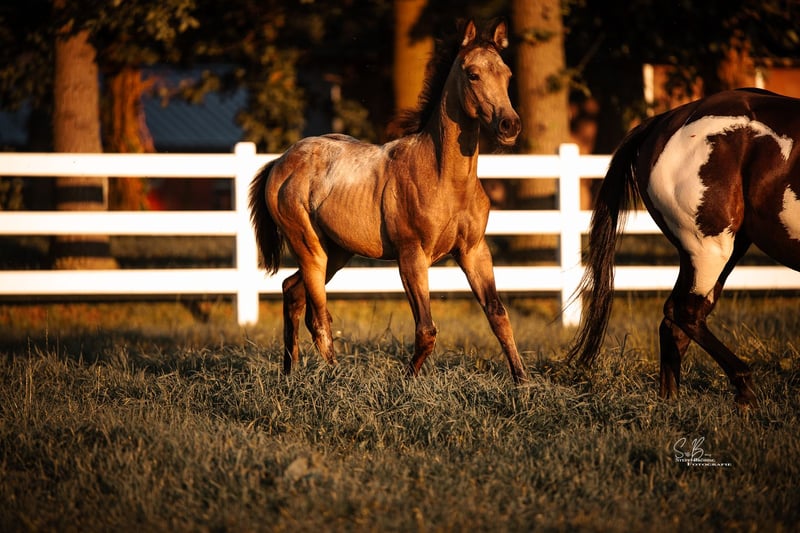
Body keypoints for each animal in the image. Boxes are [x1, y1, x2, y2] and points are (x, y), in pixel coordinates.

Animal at [248, 19, 527, 383]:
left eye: (507, 74)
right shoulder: (411, 256)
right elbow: (426, 329)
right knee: (318, 318)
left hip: (337, 251)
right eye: (473, 74)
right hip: (309, 248)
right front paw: (406, 383)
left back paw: (289, 373)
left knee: (292, 290)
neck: (445, 178)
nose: (510, 126)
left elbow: (498, 315)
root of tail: (280, 161)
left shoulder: (474, 251)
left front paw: (523, 383)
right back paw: (336, 379)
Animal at [567, 88, 800, 406]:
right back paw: (744, 389)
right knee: (684, 312)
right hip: (709, 249)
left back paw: (672, 401)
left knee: (676, 322)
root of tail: (665, 121)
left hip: (720, 249)